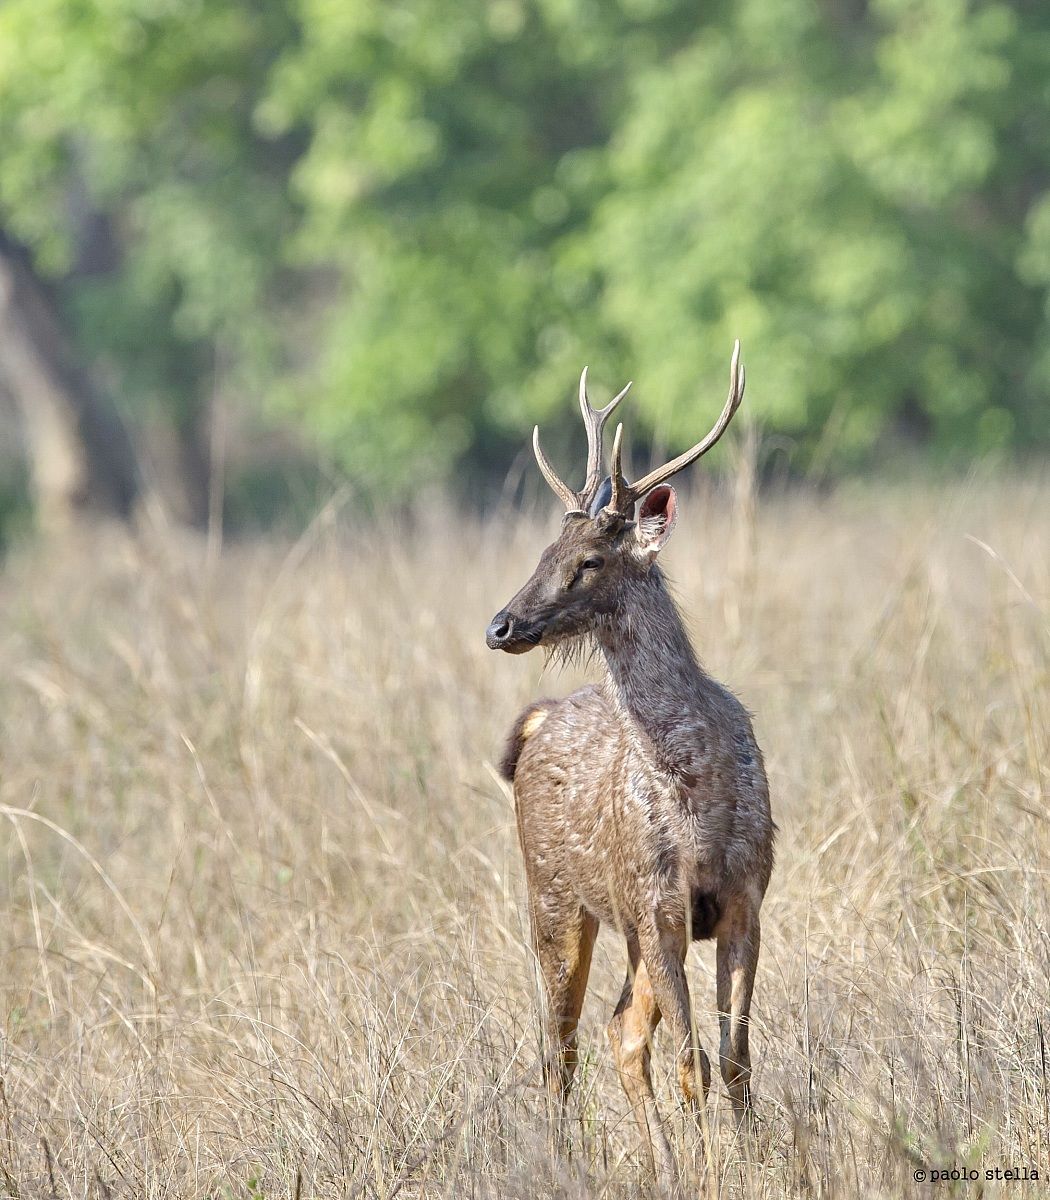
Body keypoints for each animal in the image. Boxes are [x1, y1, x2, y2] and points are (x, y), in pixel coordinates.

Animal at [485, 342, 774, 1189]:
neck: (699, 797)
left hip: (622, 926)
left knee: (618, 1032)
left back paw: (656, 1163)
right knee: (559, 1047)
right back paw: (563, 1163)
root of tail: (539, 719)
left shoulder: (745, 899)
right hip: (554, 895)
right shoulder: (660, 906)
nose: (500, 624)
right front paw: (715, 1174)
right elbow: (692, 1062)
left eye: (587, 560)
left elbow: (734, 1058)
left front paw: (753, 1163)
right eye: (542, 552)